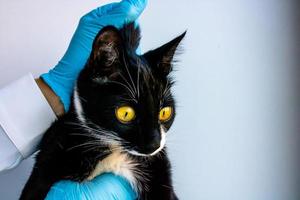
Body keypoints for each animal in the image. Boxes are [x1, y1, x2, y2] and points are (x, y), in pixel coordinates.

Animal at [19, 22, 184, 199]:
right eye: (126, 113)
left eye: (165, 112)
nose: (154, 144)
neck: (112, 149)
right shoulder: (50, 153)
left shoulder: (157, 168)